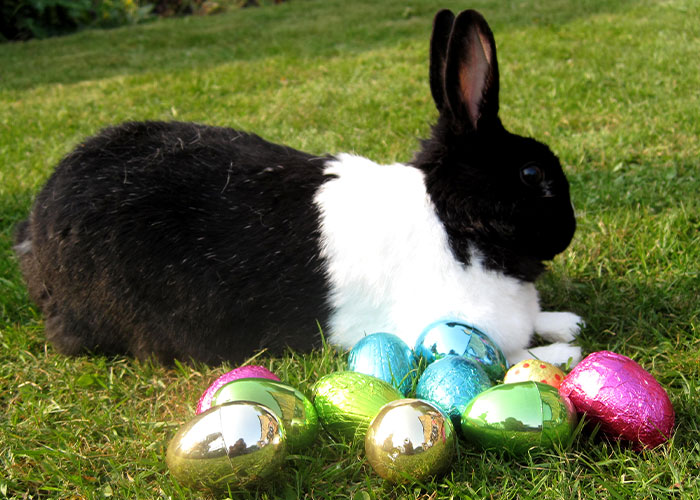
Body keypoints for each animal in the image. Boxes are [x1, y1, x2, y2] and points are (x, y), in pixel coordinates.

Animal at [15, 7, 584, 368]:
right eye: (533, 175)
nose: (570, 229)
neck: (452, 221)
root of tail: (35, 234)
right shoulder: (438, 327)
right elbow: (507, 357)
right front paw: (564, 353)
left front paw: (565, 324)